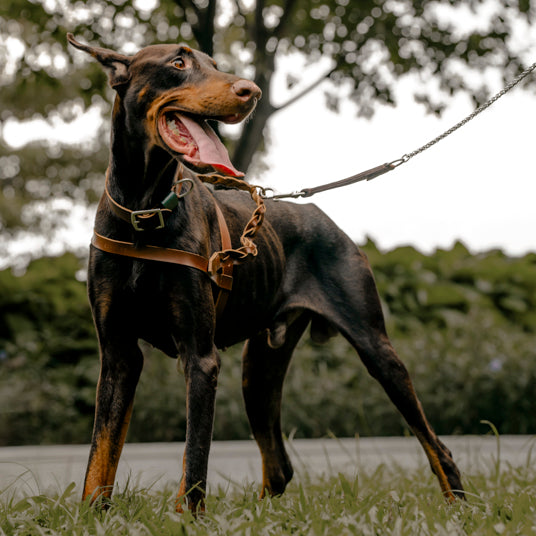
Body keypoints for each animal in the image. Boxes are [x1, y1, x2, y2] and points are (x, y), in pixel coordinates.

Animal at [66, 33, 460, 510]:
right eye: (178, 62)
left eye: (215, 64)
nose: (250, 91)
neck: (144, 213)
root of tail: (326, 218)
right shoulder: (118, 353)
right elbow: (99, 458)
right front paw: (92, 516)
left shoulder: (200, 357)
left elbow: (194, 460)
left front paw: (186, 518)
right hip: (259, 368)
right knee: (278, 464)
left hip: (375, 348)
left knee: (436, 445)